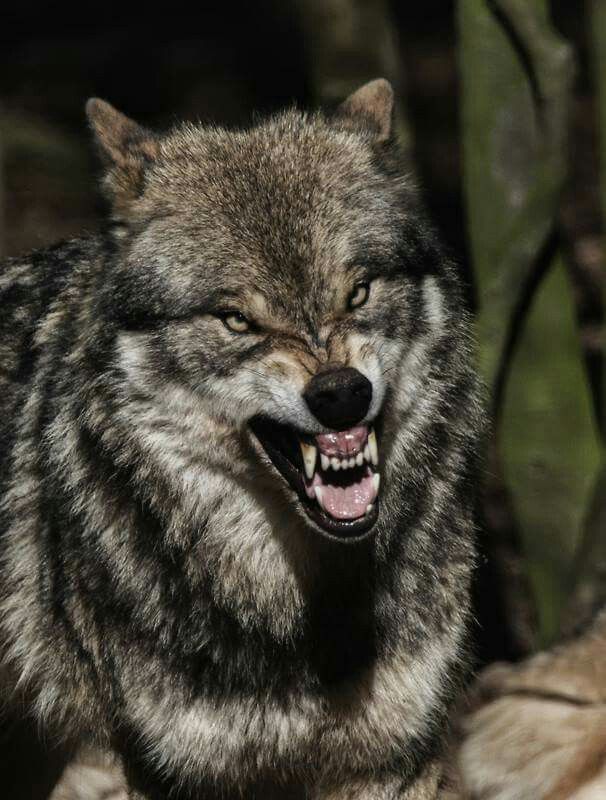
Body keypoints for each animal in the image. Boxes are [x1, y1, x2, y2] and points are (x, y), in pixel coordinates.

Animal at [0, 79, 482, 799]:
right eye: (236, 320)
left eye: (358, 293)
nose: (341, 393)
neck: (300, 620)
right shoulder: (176, 771)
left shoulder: (391, 761)